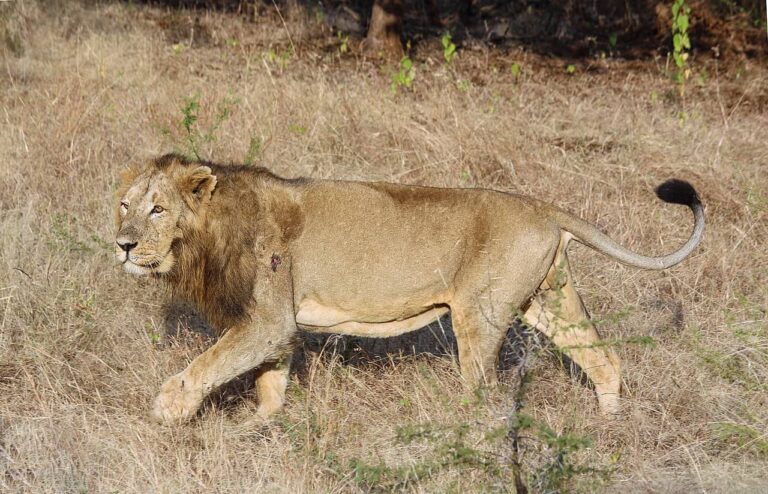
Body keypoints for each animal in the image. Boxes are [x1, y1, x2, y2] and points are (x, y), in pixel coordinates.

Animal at [115, 154, 704, 424]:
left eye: (157, 209)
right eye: (124, 205)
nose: (122, 244)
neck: (208, 235)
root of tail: (543, 207)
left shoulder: (266, 319)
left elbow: (206, 365)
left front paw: (167, 412)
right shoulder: (276, 326)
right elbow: (269, 381)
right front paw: (258, 429)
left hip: (479, 314)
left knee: (484, 389)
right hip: (549, 300)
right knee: (605, 359)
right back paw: (608, 425)